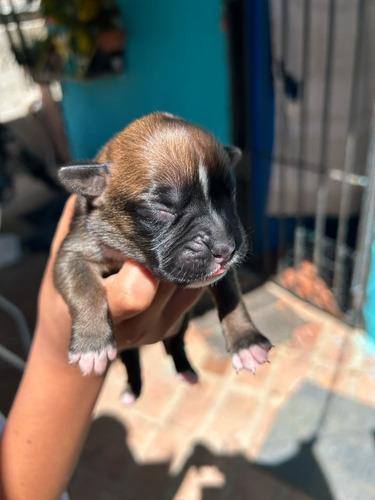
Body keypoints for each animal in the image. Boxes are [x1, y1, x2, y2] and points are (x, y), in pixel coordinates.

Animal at [54, 111, 274, 388]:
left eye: (229, 196)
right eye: (162, 208)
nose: (226, 249)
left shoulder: (224, 274)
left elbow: (231, 295)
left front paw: (246, 342)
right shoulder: (74, 251)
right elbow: (85, 288)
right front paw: (91, 345)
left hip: (180, 326)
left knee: (176, 344)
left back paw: (185, 370)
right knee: (131, 357)